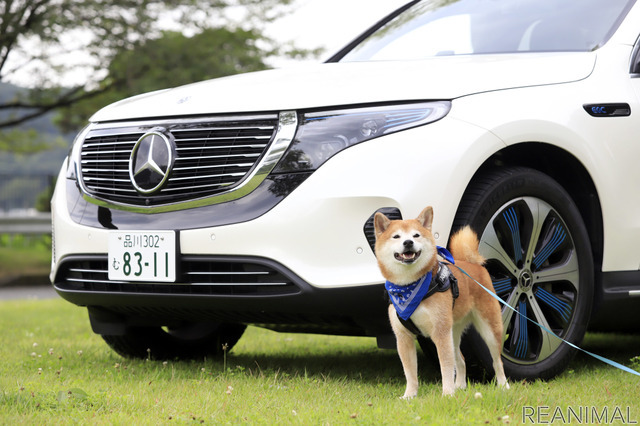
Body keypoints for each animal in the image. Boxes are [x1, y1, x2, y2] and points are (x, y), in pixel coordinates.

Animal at [372, 207, 508, 400]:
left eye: (416, 235)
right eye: (396, 236)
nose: (408, 242)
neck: (410, 288)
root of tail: (472, 264)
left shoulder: (440, 332)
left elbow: (445, 367)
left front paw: (448, 394)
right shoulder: (404, 337)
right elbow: (410, 372)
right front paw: (409, 395)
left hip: (489, 328)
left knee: (497, 361)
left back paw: (504, 386)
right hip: (453, 331)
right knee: (461, 360)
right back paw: (460, 386)